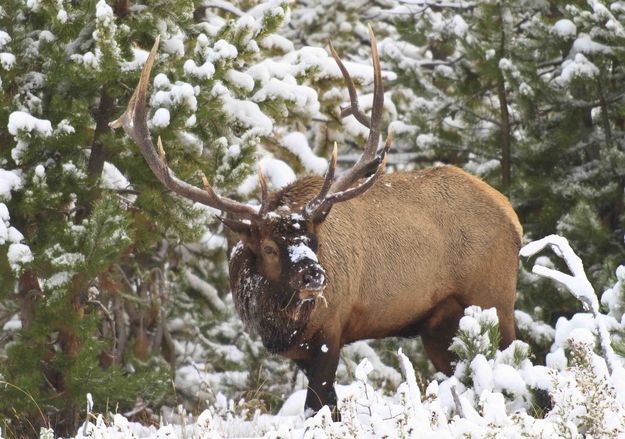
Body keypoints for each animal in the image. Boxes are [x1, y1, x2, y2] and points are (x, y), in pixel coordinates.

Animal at [111, 28, 520, 422]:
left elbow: (319, 408)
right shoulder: (301, 351)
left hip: (494, 299)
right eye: (270, 247)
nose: (315, 275)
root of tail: (513, 218)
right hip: (440, 326)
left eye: (314, 239)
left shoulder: (330, 332)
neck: (277, 324)